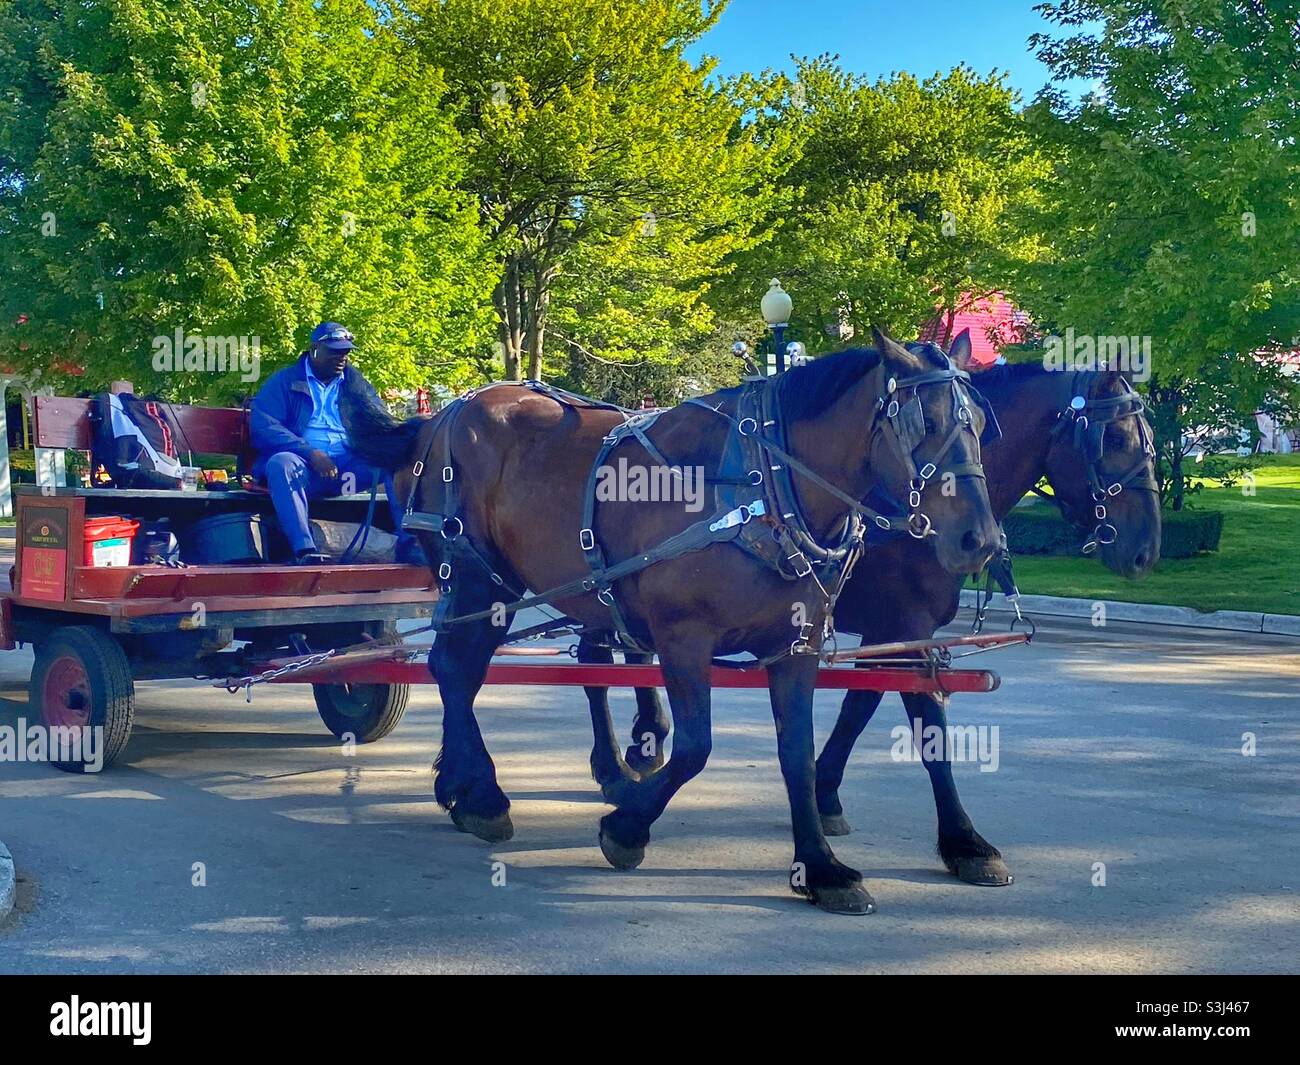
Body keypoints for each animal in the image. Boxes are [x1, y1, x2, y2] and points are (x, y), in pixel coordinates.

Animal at [344, 329, 1002, 914]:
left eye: (978, 423)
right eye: (923, 424)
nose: (981, 539)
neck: (764, 486)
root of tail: (438, 415)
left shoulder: (801, 643)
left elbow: (797, 751)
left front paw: (820, 867)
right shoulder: (685, 637)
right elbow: (694, 747)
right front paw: (626, 828)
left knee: (466, 668)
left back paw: (463, 785)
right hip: (478, 574)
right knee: (457, 669)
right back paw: (482, 794)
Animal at [582, 330, 1162, 890]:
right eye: (1114, 438)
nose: (1146, 551)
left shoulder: (892, 633)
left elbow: (863, 704)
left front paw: (824, 792)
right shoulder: (902, 623)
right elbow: (924, 723)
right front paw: (963, 842)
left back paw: (638, 749)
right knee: (597, 666)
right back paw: (618, 763)